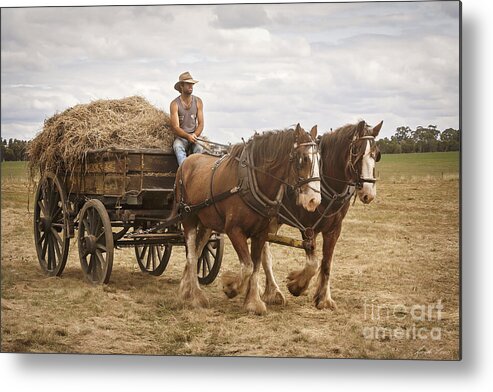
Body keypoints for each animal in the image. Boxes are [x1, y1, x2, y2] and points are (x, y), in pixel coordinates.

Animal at [172, 125, 320, 316]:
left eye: (319, 159)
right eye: (304, 159)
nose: (314, 200)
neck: (250, 181)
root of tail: (186, 162)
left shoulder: (261, 233)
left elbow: (255, 267)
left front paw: (253, 302)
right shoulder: (234, 230)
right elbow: (248, 266)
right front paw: (230, 287)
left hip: (205, 224)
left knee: (197, 251)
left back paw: (186, 289)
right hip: (188, 217)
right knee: (191, 253)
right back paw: (195, 296)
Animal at [260, 119, 382, 310]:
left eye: (376, 155)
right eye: (356, 151)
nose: (368, 193)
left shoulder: (334, 229)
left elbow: (326, 263)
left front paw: (324, 298)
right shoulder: (308, 228)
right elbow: (312, 263)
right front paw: (296, 285)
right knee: (264, 254)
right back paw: (273, 292)